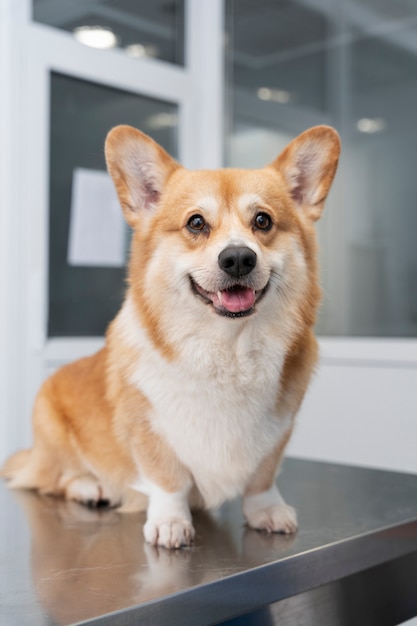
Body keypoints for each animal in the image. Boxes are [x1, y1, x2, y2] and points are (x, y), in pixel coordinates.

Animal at [1, 124, 340, 544]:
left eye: (262, 221)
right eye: (196, 223)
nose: (238, 259)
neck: (229, 347)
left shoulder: (278, 431)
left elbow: (262, 478)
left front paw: (267, 511)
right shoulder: (148, 430)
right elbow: (168, 480)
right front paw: (170, 522)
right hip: (51, 433)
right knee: (54, 479)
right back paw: (89, 487)